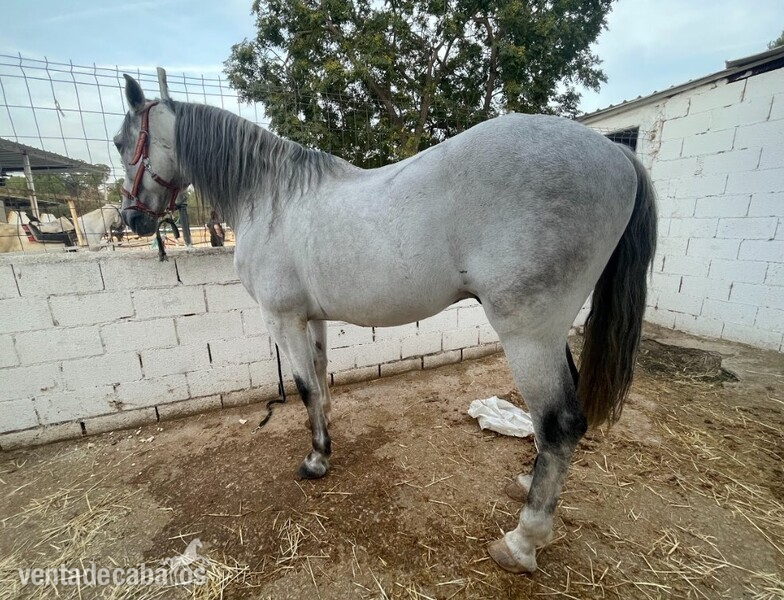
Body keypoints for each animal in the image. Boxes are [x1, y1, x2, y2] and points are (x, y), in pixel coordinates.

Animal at [114, 74, 656, 574]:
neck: (271, 198)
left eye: (122, 143)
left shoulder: (282, 318)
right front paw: (326, 443)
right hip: (550, 332)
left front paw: (315, 461)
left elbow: (304, 388)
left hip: (528, 334)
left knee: (560, 424)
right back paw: (527, 483)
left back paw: (522, 541)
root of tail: (615, 154)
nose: (131, 220)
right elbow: (321, 384)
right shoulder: (312, 319)